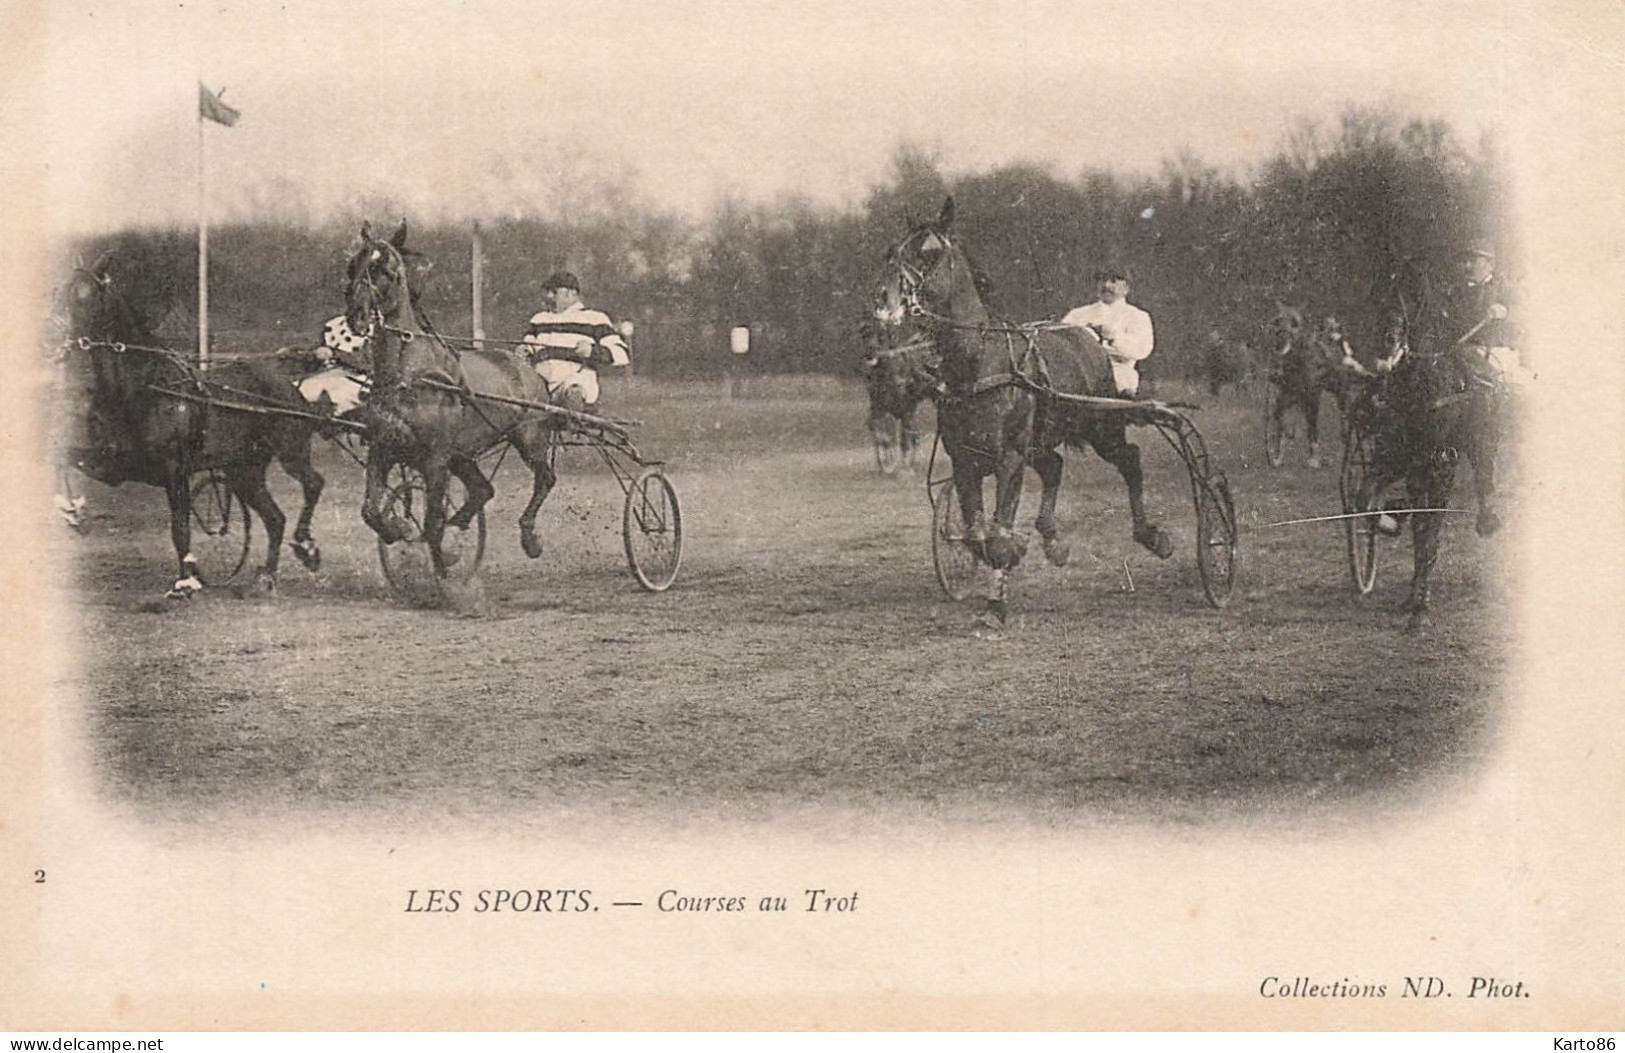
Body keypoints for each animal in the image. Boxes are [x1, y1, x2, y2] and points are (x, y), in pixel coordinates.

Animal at [60, 258, 326, 598]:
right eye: (61, 291)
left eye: (87, 295)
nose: (59, 336)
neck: (141, 387)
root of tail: (287, 383)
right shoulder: (112, 465)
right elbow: (63, 456)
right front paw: (72, 511)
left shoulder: (174, 469)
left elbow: (181, 528)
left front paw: (186, 580)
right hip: (244, 471)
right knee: (275, 518)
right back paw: (267, 576)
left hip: (291, 452)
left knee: (313, 484)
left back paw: (306, 546)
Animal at [341, 219, 559, 575]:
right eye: (353, 265)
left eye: (385, 270)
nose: (356, 317)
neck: (408, 374)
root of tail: (529, 370)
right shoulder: (384, 449)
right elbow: (370, 512)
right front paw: (399, 528)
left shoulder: (436, 459)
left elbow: (431, 525)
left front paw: (444, 572)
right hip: (463, 455)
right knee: (483, 490)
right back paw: (458, 528)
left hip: (530, 439)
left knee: (545, 479)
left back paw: (529, 537)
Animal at [871, 197, 1176, 624]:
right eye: (892, 250)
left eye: (928, 251)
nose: (883, 300)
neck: (980, 361)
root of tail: (1090, 336)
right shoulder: (965, 460)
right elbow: (977, 535)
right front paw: (1011, 556)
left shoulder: (1010, 457)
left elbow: (997, 535)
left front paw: (996, 603)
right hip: (1042, 440)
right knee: (1054, 467)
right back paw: (1053, 541)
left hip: (1101, 428)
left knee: (1129, 459)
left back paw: (1151, 535)